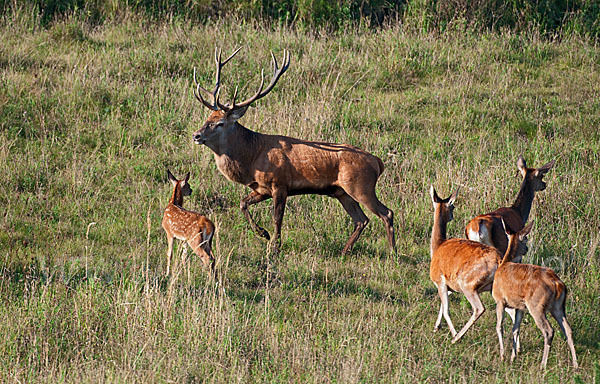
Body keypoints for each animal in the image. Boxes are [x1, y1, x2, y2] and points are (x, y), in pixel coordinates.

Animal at [192, 48, 396, 256]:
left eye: (220, 123)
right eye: (208, 117)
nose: (196, 135)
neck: (251, 158)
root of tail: (378, 162)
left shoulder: (280, 183)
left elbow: (277, 218)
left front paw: (274, 248)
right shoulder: (262, 188)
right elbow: (243, 203)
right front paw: (263, 234)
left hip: (361, 185)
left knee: (386, 213)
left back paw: (392, 253)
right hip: (342, 192)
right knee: (361, 219)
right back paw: (344, 251)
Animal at [426, 185, 528, 342]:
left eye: (452, 206)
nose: (452, 216)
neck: (438, 246)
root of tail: (500, 261)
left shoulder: (440, 282)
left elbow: (446, 310)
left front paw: (451, 332)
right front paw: (437, 327)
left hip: (468, 286)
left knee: (480, 308)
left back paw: (457, 338)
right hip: (495, 288)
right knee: (513, 312)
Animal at [494, 222, 580, 368]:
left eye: (526, 238)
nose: (526, 249)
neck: (503, 264)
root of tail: (557, 284)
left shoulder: (500, 300)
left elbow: (499, 327)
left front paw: (502, 357)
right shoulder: (520, 307)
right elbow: (515, 329)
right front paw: (513, 357)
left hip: (536, 306)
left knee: (549, 330)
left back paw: (542, 365)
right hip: (557, 307)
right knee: (568, 329)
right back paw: (575, 365)